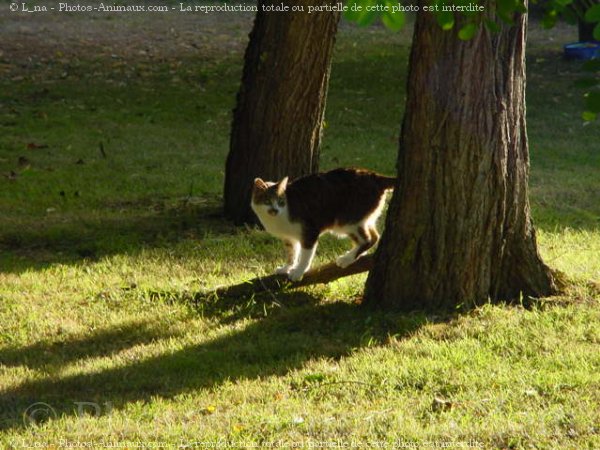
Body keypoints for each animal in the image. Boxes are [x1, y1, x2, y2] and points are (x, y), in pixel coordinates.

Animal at [251, 169, 396, 282]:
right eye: (267, 201)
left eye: (281, 201)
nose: (275, 210)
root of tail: (374, 176)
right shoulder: (289, 238)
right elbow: (292, 253)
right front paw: (287, 267)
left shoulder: (309, 231)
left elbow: (306, 256)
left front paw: (299, 271)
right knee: (375, 236)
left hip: (346, 220)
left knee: (369, 239)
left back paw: (346, 259)